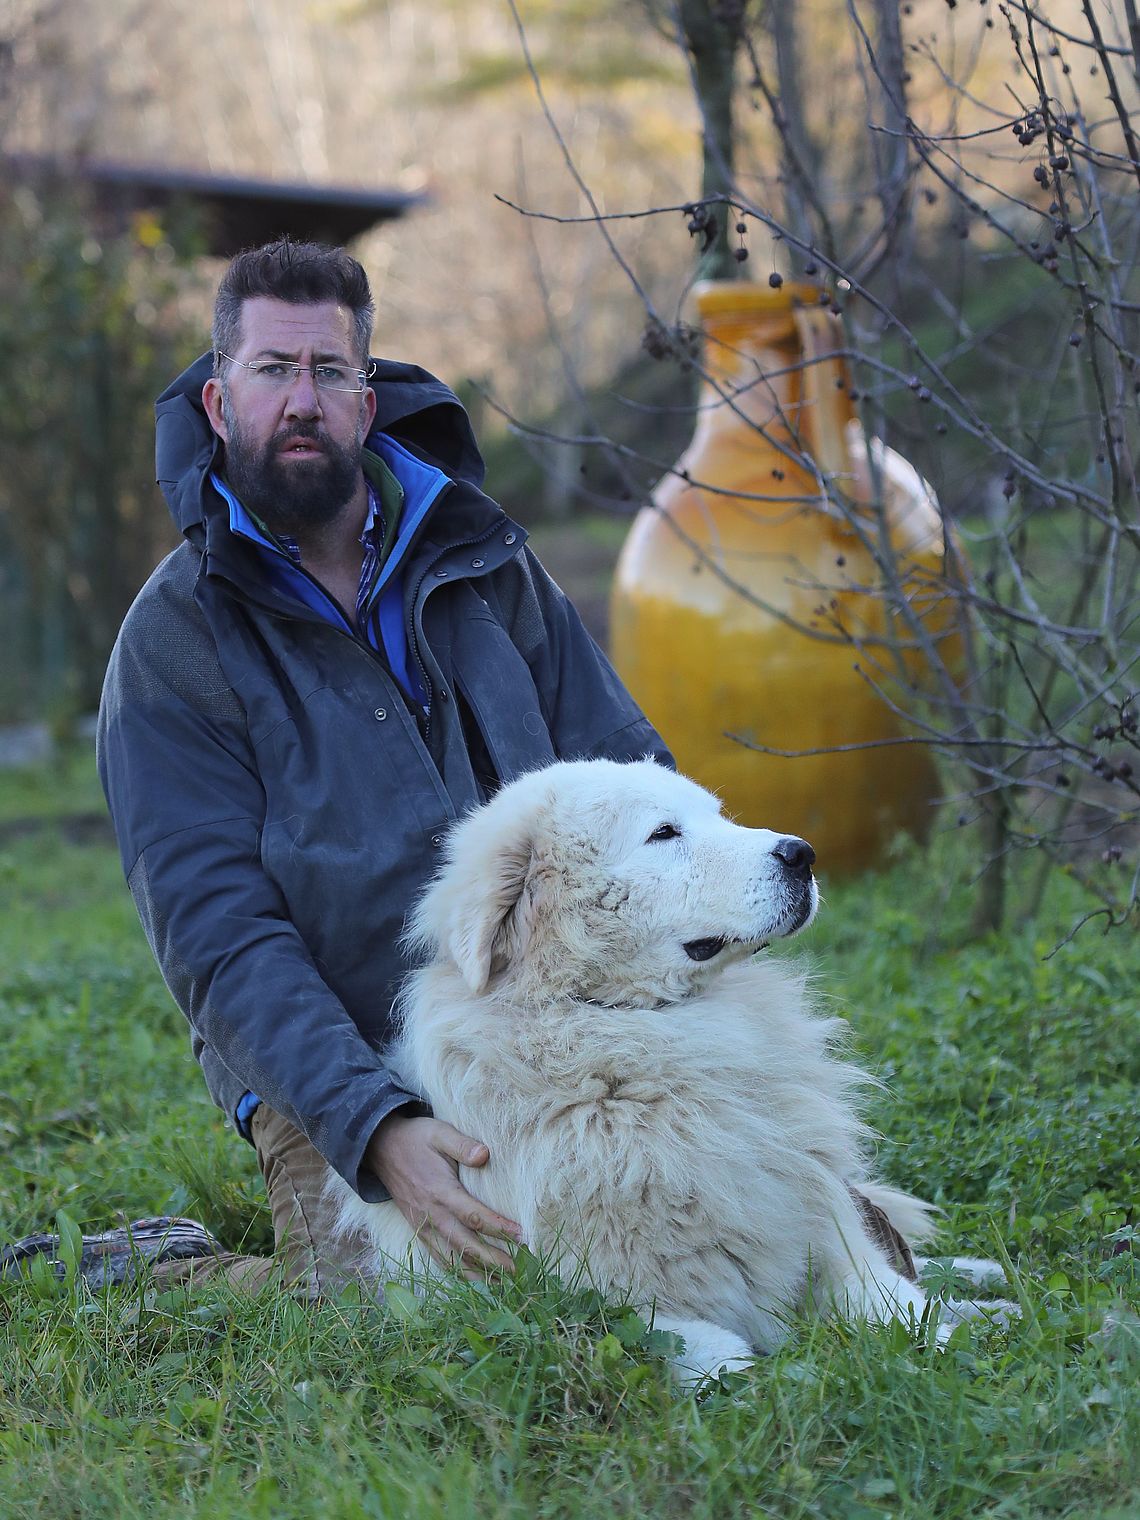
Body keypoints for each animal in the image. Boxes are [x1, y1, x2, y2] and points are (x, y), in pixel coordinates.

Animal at [329, 758, 993, 1382]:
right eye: (663, 833)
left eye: (719, 816)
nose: (802, 854)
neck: (636, 1035)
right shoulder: (585, 1303)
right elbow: (720, 1357)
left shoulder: (824, 1235)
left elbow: (895, 1302)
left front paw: (952, 1342)